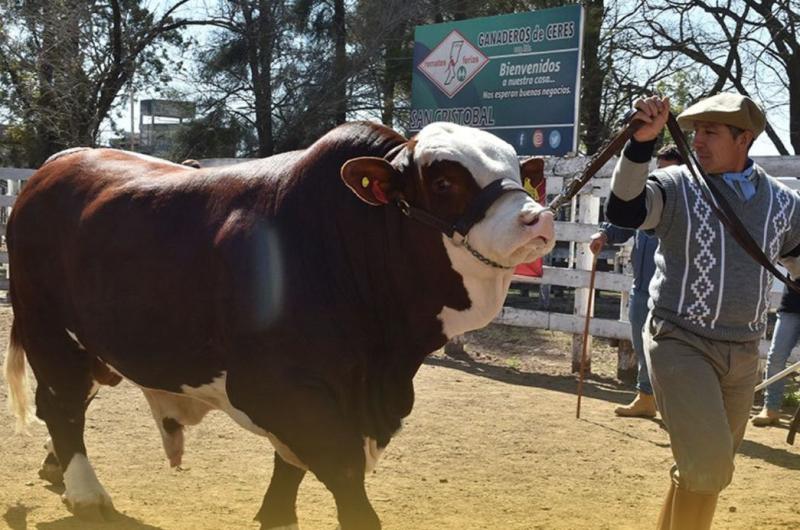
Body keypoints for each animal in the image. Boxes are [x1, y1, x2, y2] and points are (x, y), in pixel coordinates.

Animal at [4, 121, 556, 524]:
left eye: (518, 171)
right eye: (443, 182)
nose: (539, 218)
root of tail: (55, 164)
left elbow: (289, 470)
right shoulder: (278, 389)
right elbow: (342, 476)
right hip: (47, 327)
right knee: (61, 404)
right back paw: (86, 494)